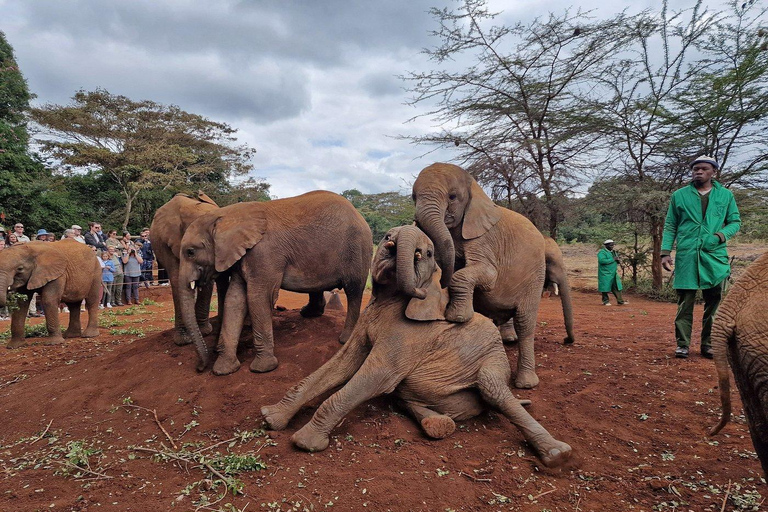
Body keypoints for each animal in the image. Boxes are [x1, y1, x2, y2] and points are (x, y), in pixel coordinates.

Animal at [180, 190, 372, 374]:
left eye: (190, 252)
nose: (199, 368)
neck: (227, 215)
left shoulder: (264, 254)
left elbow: (258, 297)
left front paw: (262, 368)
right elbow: (234, 300)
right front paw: (223, 370)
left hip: (358, 250)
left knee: (354, 291)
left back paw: (344, 339)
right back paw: (309, 313)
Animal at [262, 227, 568, 468]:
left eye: (429, 254)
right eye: (386, 237)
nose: (401, 248)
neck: (390, 298)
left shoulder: (411, 335)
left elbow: (376, 375)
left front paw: (305, 442)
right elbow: (341, 365)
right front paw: (270, 418)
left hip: (494, 357)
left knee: (492, 389)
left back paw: (557, 453)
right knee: (407, 395)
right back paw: (438, 424)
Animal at [414, 162, 544, 386]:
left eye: (452, 197)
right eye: (413, 197)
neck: (475, 187)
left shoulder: (485, 237)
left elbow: (488, 274)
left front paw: (457, 317)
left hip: (535, 276)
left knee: (524, 322)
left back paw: (526, 383)